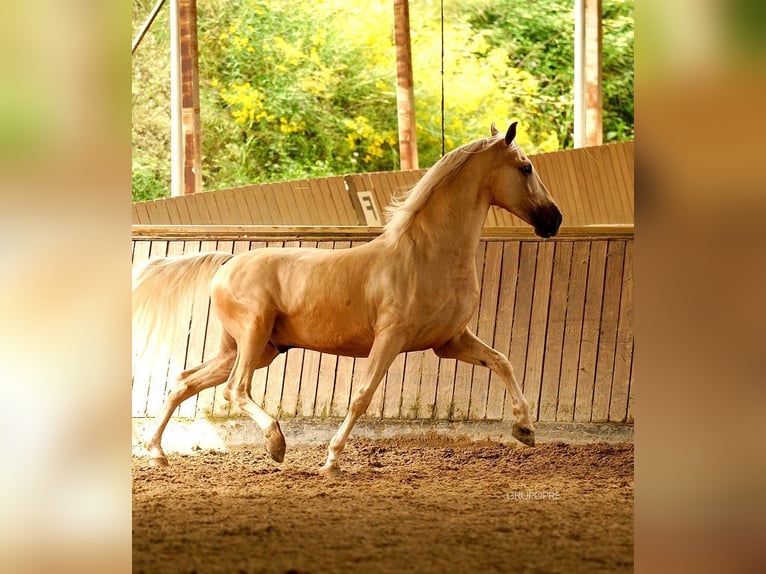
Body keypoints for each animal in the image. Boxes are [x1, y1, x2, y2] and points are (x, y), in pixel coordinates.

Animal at [132, 122, 562, 474]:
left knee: (184, 382)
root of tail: (227, 262)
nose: (554, 219)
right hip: (253, 336)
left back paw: (157, 453)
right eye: (525, 167)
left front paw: (525, 429)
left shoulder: (450, 341)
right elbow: (362, 396)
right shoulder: (391, 338)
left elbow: (502, 361)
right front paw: (332, 460)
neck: (428, 255)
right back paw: (276, 444)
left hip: (252, 347)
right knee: (235, 389)